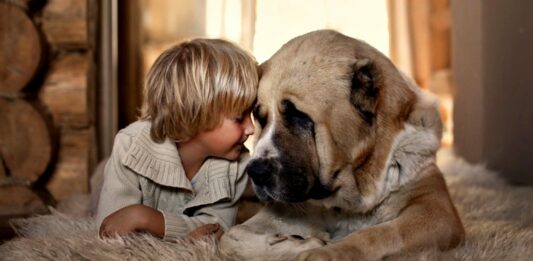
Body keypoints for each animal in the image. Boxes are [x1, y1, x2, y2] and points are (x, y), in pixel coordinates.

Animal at [218, 29, 464, 258]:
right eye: (260, 118)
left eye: (299, 116)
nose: (256, 171)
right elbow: (230, 237)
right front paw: (305, 243)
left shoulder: (436, 210)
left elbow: (380, 233)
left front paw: (327, 251)